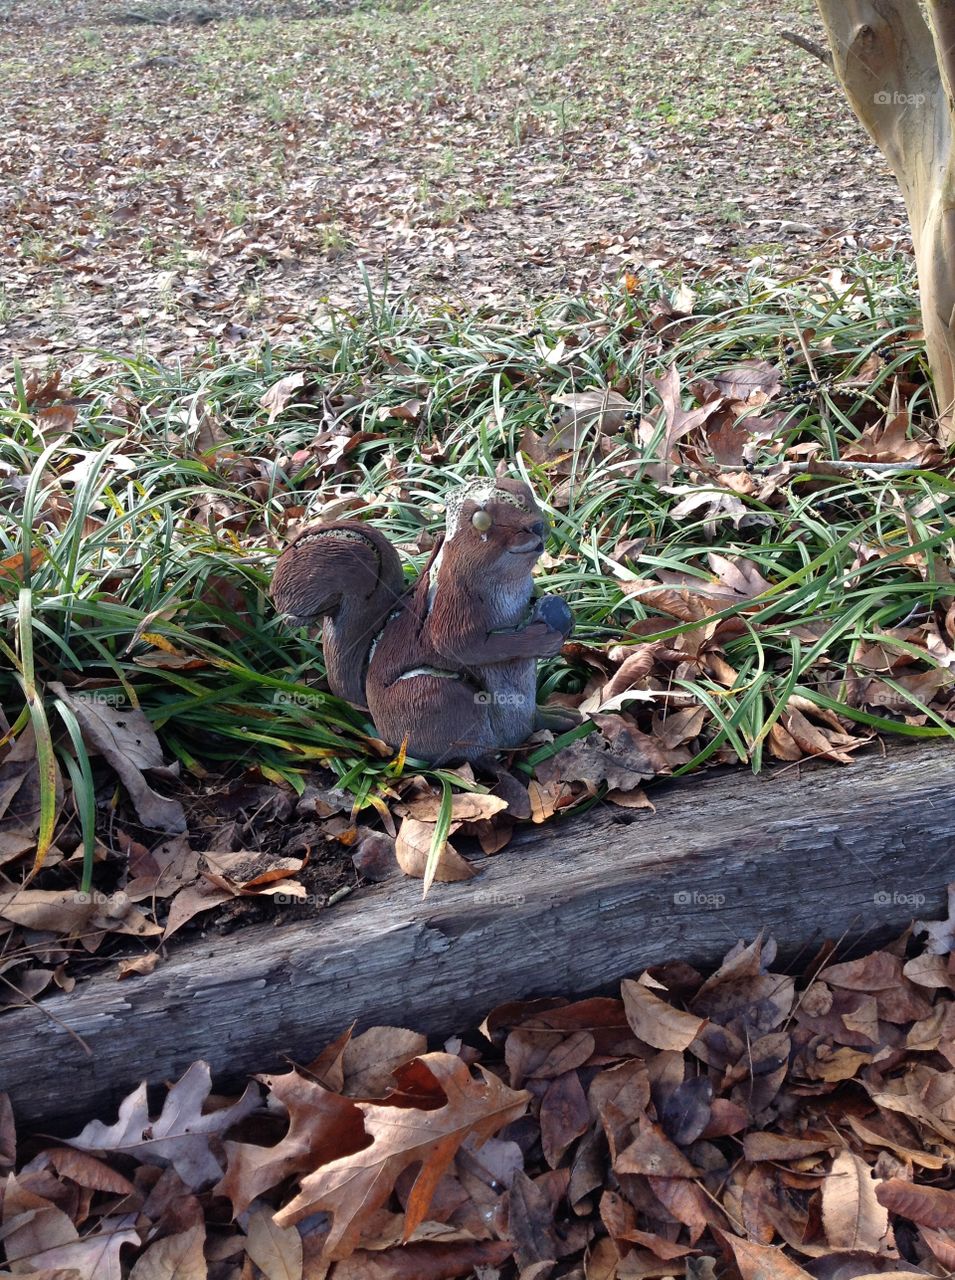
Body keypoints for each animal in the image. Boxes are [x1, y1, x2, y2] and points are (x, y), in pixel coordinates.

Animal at [270, 474, 574, 764]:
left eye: (527, 492)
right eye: (481, 521)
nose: (538, 526)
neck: (510, 581)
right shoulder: (453, 605)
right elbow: (464, 645)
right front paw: (545, 638)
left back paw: (560, 717)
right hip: (439, 695)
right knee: (468, 753)